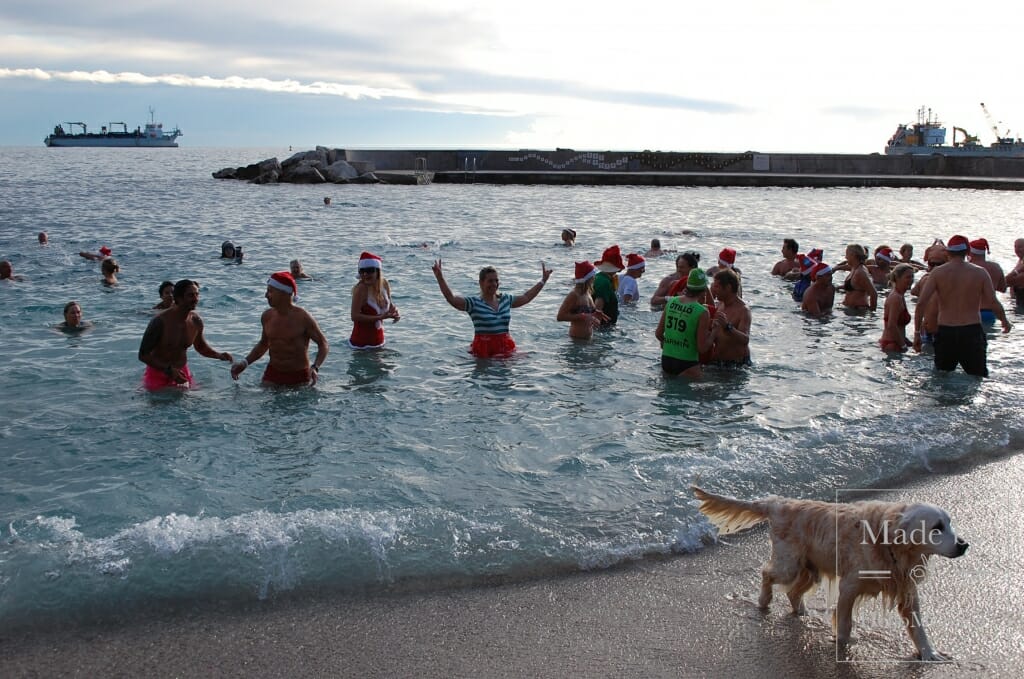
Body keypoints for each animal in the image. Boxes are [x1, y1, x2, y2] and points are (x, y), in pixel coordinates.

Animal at [688, 485, 966, 659]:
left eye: (949, 523)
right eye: (937, 527)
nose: (964, 545)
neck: (887, 542)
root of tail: (778, 503)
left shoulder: (906, 587)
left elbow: (918, 626)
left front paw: (930, 653)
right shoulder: (850, 585)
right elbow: (844, 621)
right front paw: (842, 645)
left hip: (811, 569)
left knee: (793, 593)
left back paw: (801, 612)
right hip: (789, 565)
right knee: (767, 574)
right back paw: (764, 600)